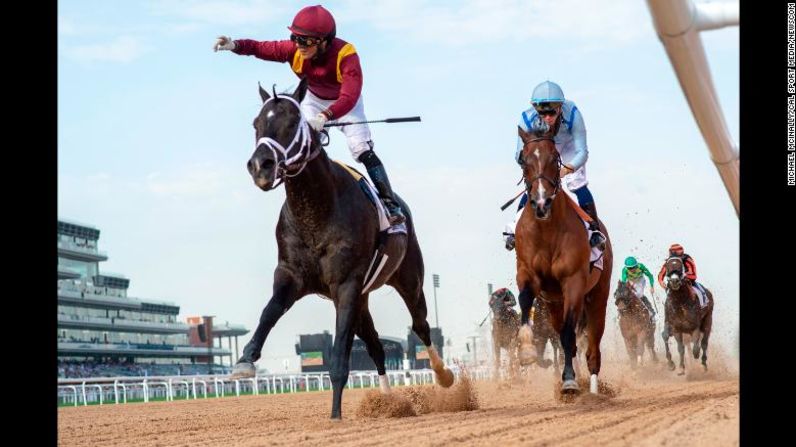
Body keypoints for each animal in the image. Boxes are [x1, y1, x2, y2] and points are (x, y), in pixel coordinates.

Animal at [233, 80, 450, 420]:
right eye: (256, 124)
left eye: (293, 122)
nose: (260, 166)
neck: (316, 210)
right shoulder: (291, 275)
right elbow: (269, 311)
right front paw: (245, 360)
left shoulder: (346, 283)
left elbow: (339, 356)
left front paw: (335, 415)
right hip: (363, 299)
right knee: (376, 346)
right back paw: (388, 402)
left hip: (409, 280)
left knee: (420, 326)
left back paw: (443, 376)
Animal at [512, 127, 612, 396]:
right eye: (523, 160)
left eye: (555, 159)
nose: (541, 202)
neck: (546, 230)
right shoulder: (527, 273)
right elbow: (525, 300)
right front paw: (526, 350)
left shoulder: (573, 281)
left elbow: (568, 334)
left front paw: (569, 381)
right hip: (553, 303)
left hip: (598, 295)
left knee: (592, 348)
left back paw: (594, 391)